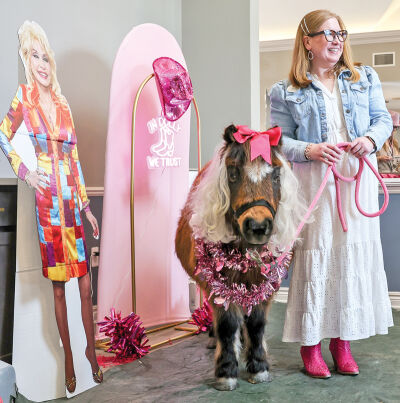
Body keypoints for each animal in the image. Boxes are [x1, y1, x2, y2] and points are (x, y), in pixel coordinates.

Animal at [175, 125, 304, 392]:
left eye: (276, 175)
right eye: (233, 173)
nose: (257, 226)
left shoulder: (265, 286)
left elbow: (256, 324)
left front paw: (259, 365)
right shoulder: (218, 287)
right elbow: (227, 324)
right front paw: (226, 371)